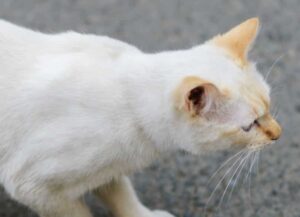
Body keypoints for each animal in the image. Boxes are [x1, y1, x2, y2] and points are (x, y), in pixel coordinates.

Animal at [0, 18, 282, 217]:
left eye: (269, 108)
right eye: (249, 125)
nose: (278, 134)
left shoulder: (108, 171)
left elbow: (122, 196)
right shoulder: (31, 185)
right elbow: (78, 213)